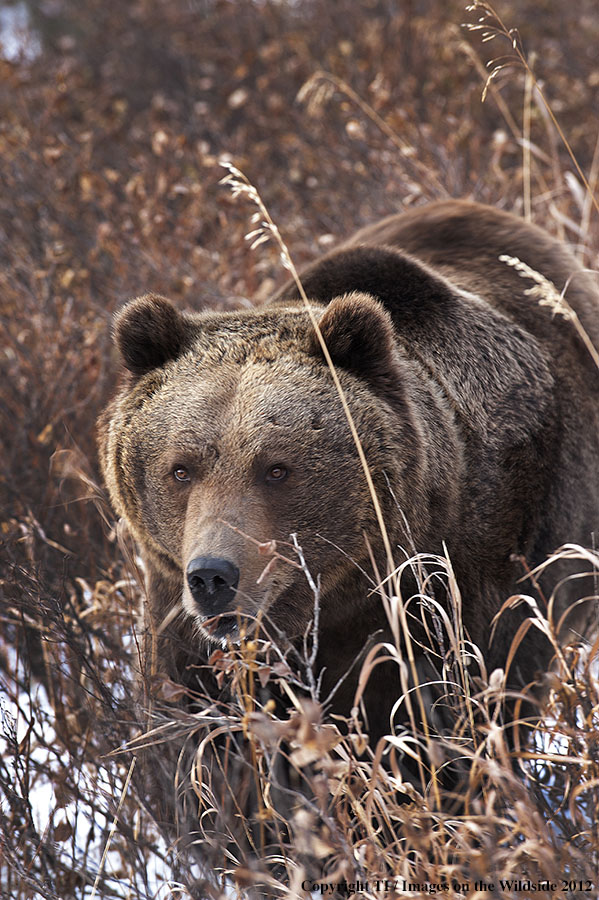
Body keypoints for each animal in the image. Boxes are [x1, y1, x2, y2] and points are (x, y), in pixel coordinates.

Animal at [97, 202, 599, 752]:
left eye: (277, 469)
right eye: (181, 469)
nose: (213, 576)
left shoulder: (468, 586)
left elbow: (466, 704)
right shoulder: (179, 613)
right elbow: (199, 728)